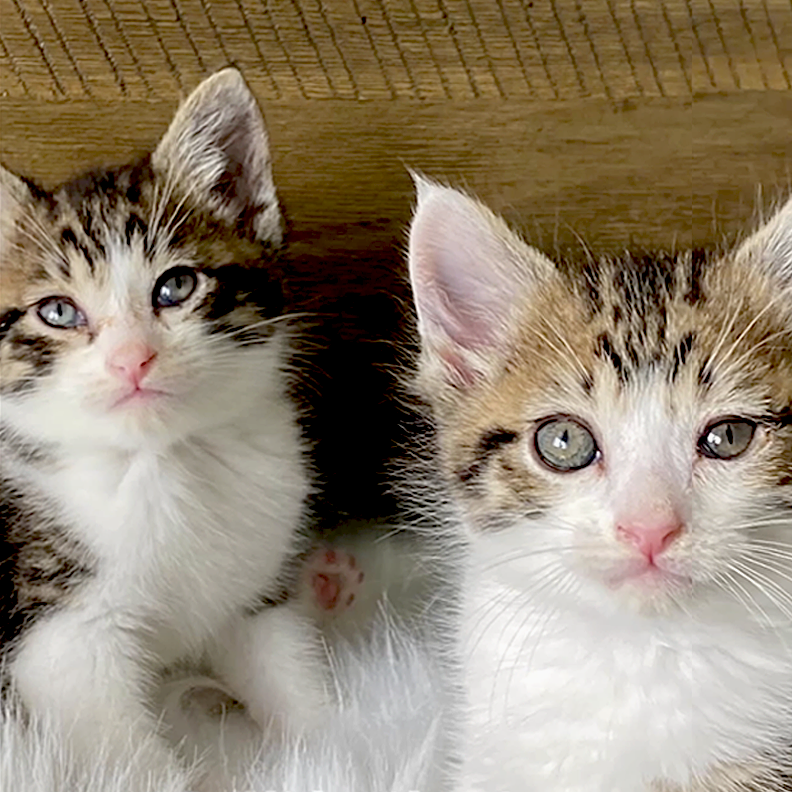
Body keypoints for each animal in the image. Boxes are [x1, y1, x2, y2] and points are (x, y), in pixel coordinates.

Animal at [0, 71, 324, 788]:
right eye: (57, 311)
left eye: (175, 286)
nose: (132, 359)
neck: (165, 463)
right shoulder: (59, 642)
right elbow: (127, 758)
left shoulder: (251, 591)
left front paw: (347, 747)